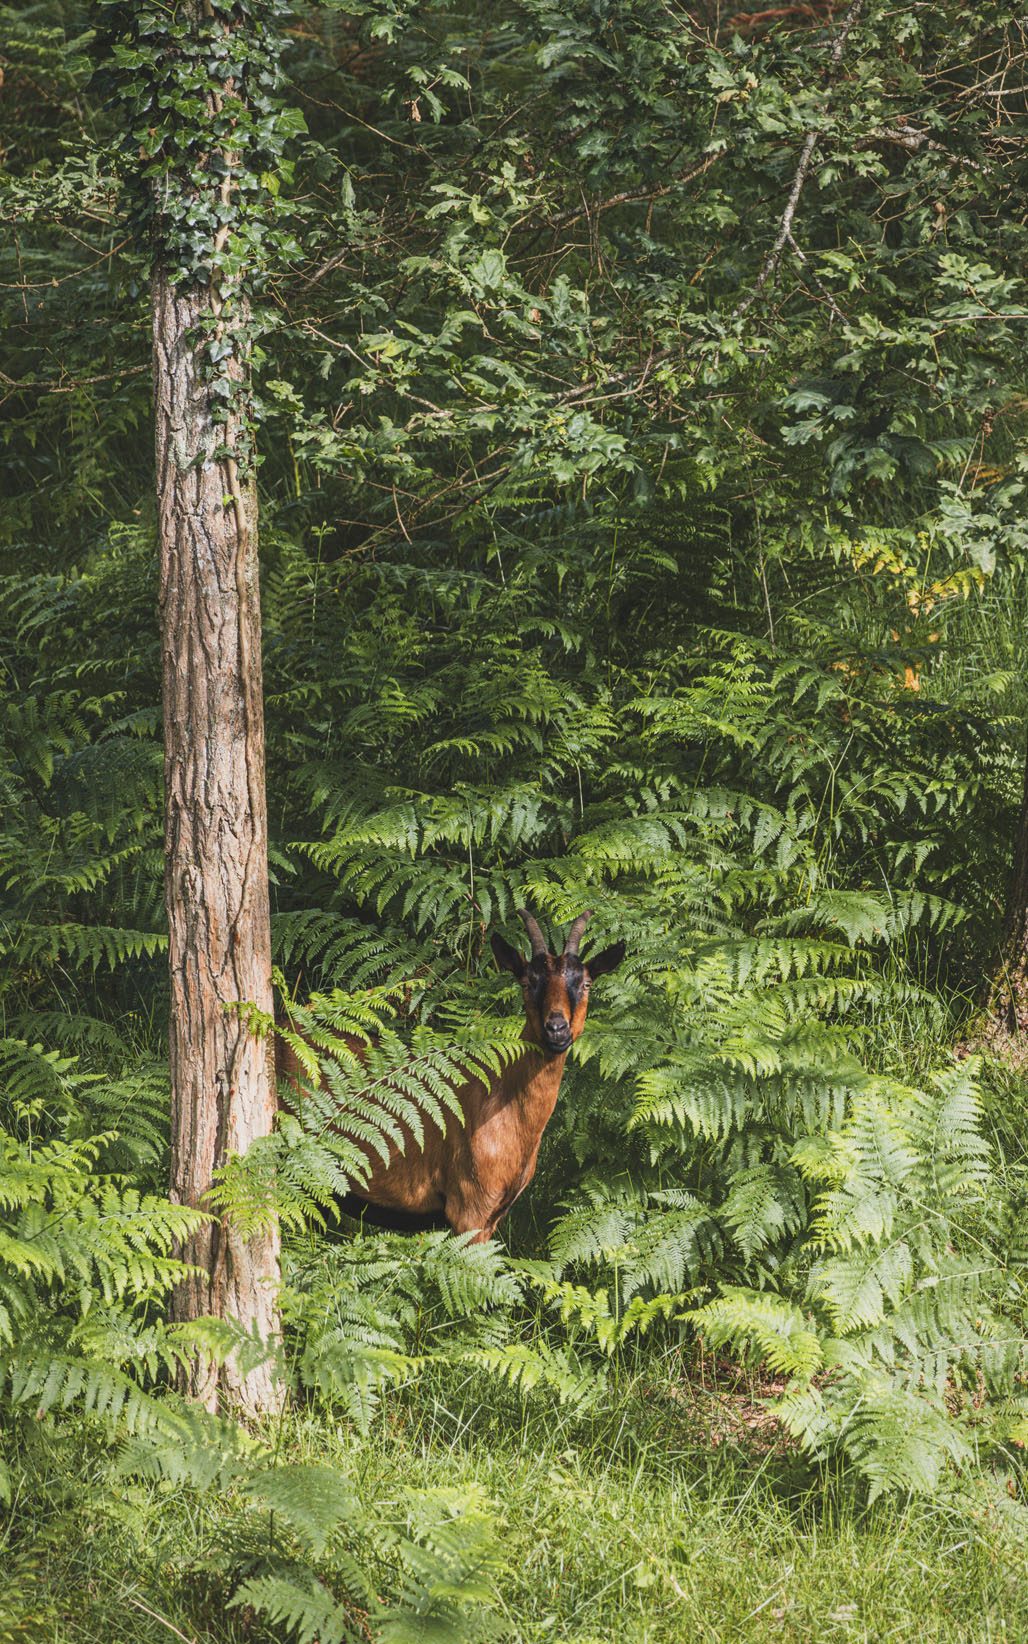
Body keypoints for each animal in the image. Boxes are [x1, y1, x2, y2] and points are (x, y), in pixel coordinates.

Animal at [274, 907, 625, 1236]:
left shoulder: (492, 1217)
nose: (557, 1029)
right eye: (527, 982)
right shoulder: (470, 1208)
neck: (504, 1104)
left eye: (586, 983)